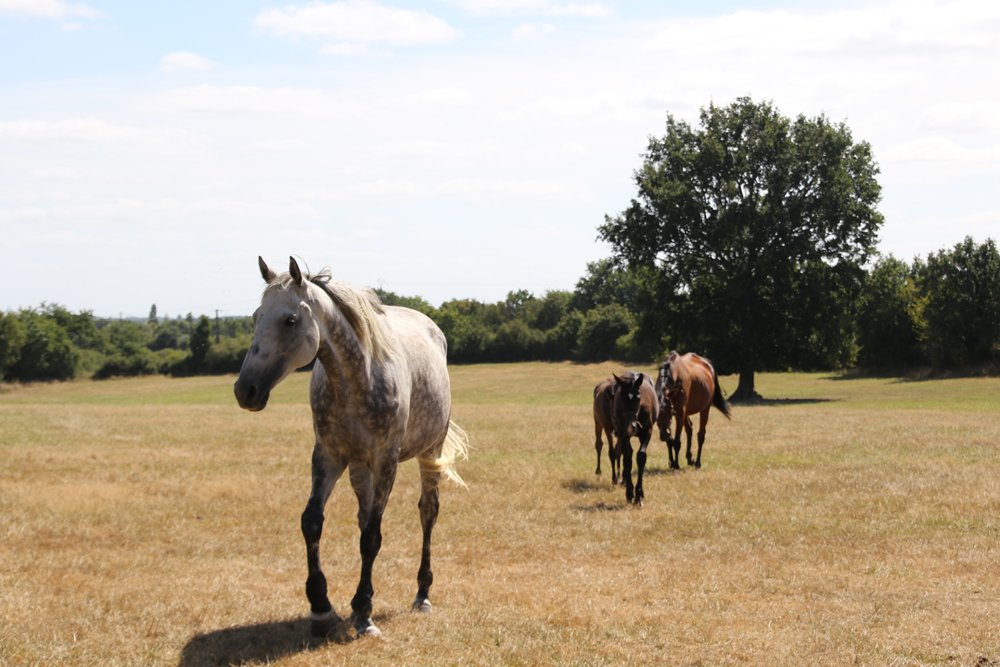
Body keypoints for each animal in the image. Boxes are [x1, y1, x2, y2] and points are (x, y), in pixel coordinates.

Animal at [233, 257, 469, 640]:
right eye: (256, 317)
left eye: (290, 320)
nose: (245, 390)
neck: (357, 378)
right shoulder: (329, 456)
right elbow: (313, 522)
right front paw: (321, 608)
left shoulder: (386, 460)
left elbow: (372, 536)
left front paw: (363, 613)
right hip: (360, 468)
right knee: (363, 516)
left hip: (429, 452)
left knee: (428, 512)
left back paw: (422, 593)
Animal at [611, 371, 658, 506]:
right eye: (621, 398)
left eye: (638, 397)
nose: (631, 427)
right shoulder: (623, 434)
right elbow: (627, 459)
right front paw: (630, 493)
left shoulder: (647, 432)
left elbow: (641, 457)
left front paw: (639, 495)